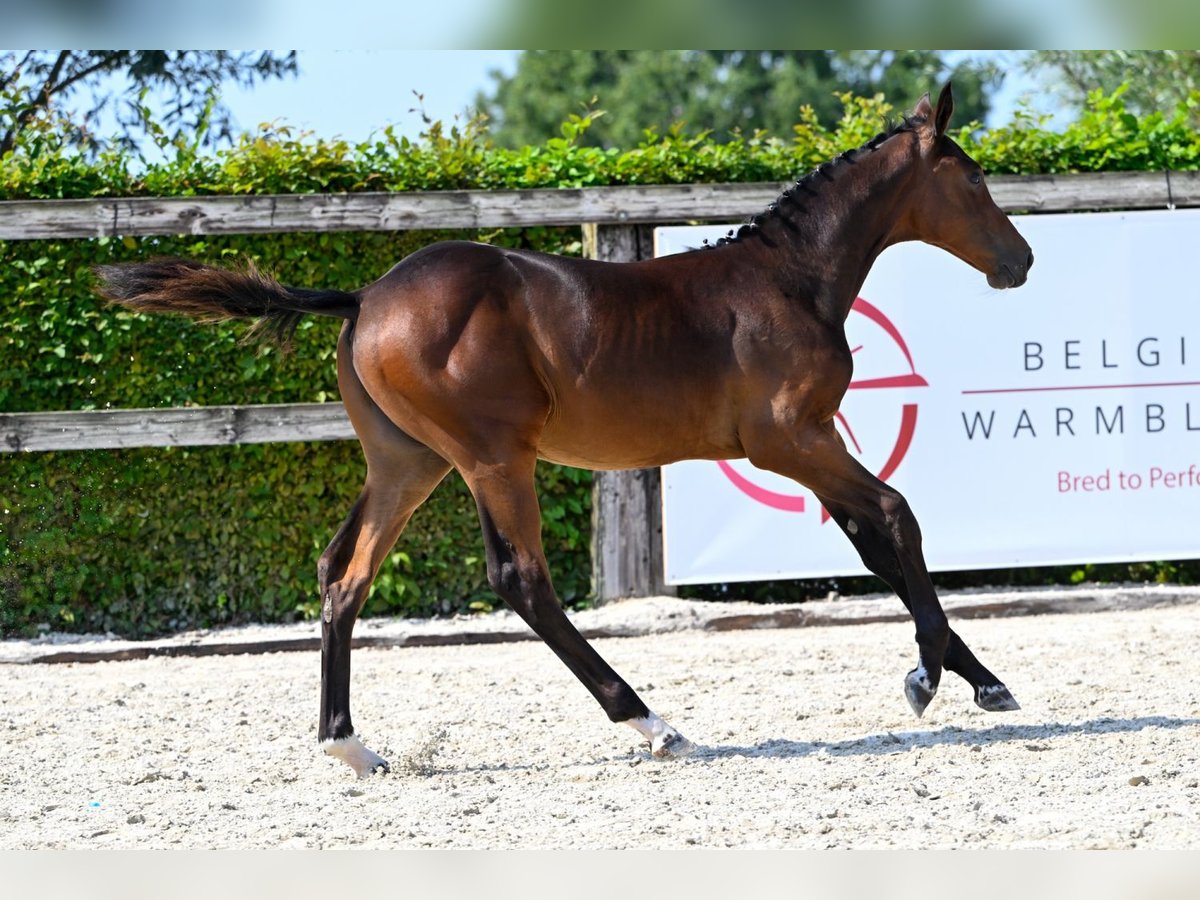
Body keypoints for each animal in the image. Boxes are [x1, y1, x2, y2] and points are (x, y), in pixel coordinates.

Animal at [98, 82, 1032, 777]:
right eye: (974, 180)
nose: (1019, 260)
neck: (788, 281)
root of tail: (363, 297)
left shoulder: (810, 443)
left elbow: (877, 545)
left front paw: (981, 681)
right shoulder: (789, 442)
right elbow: (899, 518)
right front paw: (929, 676)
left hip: (407, 462)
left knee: (343, 574)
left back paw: (350, 746)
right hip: (491, 457)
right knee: (523, 581)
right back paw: (654, 723)